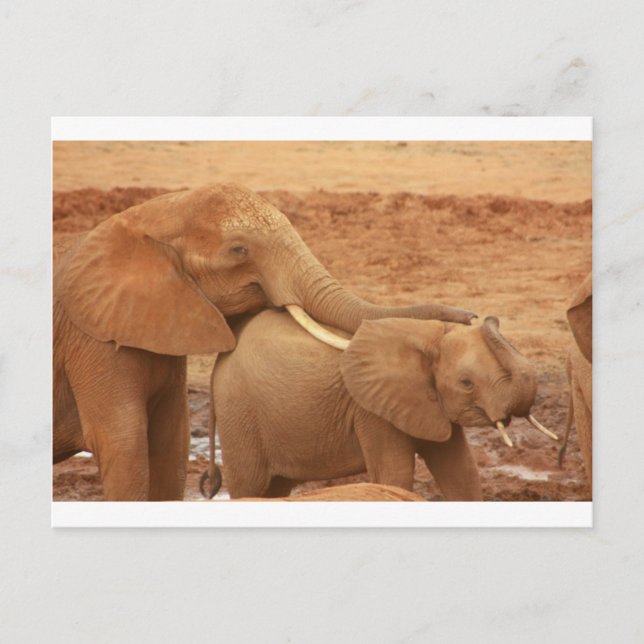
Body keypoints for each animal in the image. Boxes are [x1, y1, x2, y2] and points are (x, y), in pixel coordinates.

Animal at [53, 183, 476, 501]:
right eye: (239, 250)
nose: (472, 316)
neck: (152, 213)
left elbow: (170, 444)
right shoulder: (90, 340)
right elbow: (124, 443)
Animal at [203, 310, 555, 501]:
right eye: (467, 383)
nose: (481, 317)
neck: (428, 338)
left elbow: (461, 472)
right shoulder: (372, 411)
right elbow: (393, 474)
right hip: (239, 415)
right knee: (249, 485)